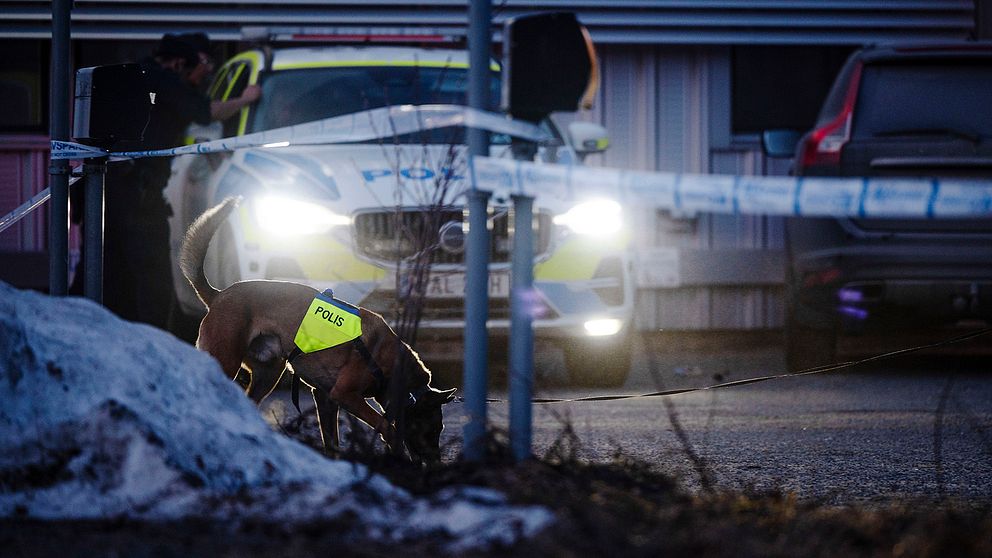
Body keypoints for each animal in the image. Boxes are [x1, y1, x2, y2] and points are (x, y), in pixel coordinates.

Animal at [180, 197, 456, 464]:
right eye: (433, 429)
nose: (437, 464)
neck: (392, 363)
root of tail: (218, 295)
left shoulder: (325, 399)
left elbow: (332, 443)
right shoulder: (345, 394)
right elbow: (386, 426)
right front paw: (398, 455)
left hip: (269, 373)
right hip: (227, 362)